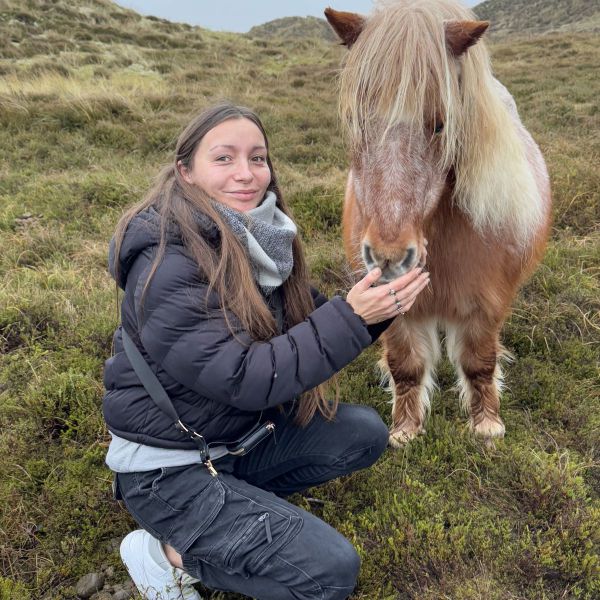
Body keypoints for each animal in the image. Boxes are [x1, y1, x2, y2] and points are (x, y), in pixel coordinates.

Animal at [326, 0, 552, 448]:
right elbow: (406, 366)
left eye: (441, 124)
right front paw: (405, 431)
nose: (389, 257)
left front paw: (487, 426)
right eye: (358, 122)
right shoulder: (396, 309)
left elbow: (480, 362)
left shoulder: (486, 304)